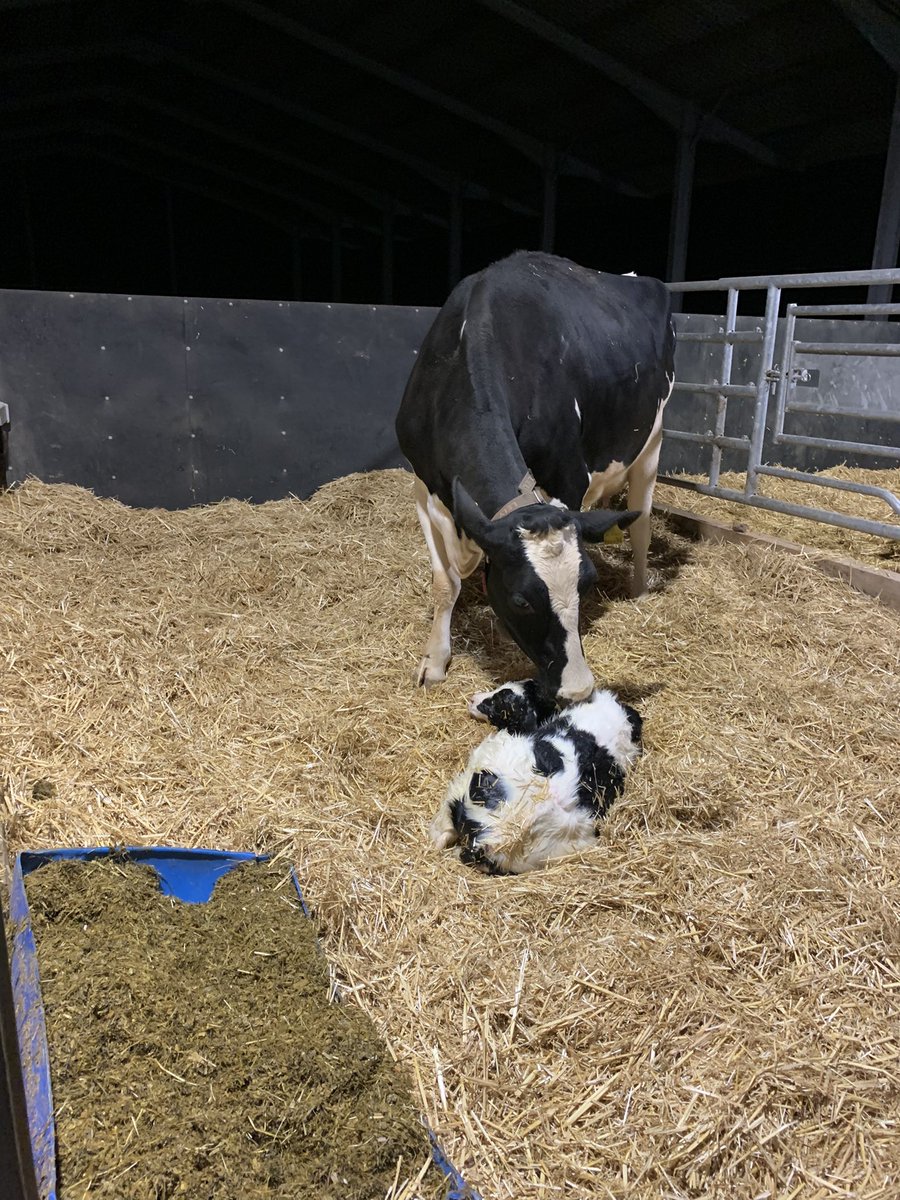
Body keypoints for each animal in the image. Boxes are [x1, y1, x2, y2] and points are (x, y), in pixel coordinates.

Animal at [395, 250, 675, 704]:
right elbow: (444, 583)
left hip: (653, 440)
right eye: (521, 601)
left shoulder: (570, 477)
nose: (579, 689)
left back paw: (639, 589)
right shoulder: (424, 485)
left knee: (641, 524)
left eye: (586, 585)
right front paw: (434, 661)